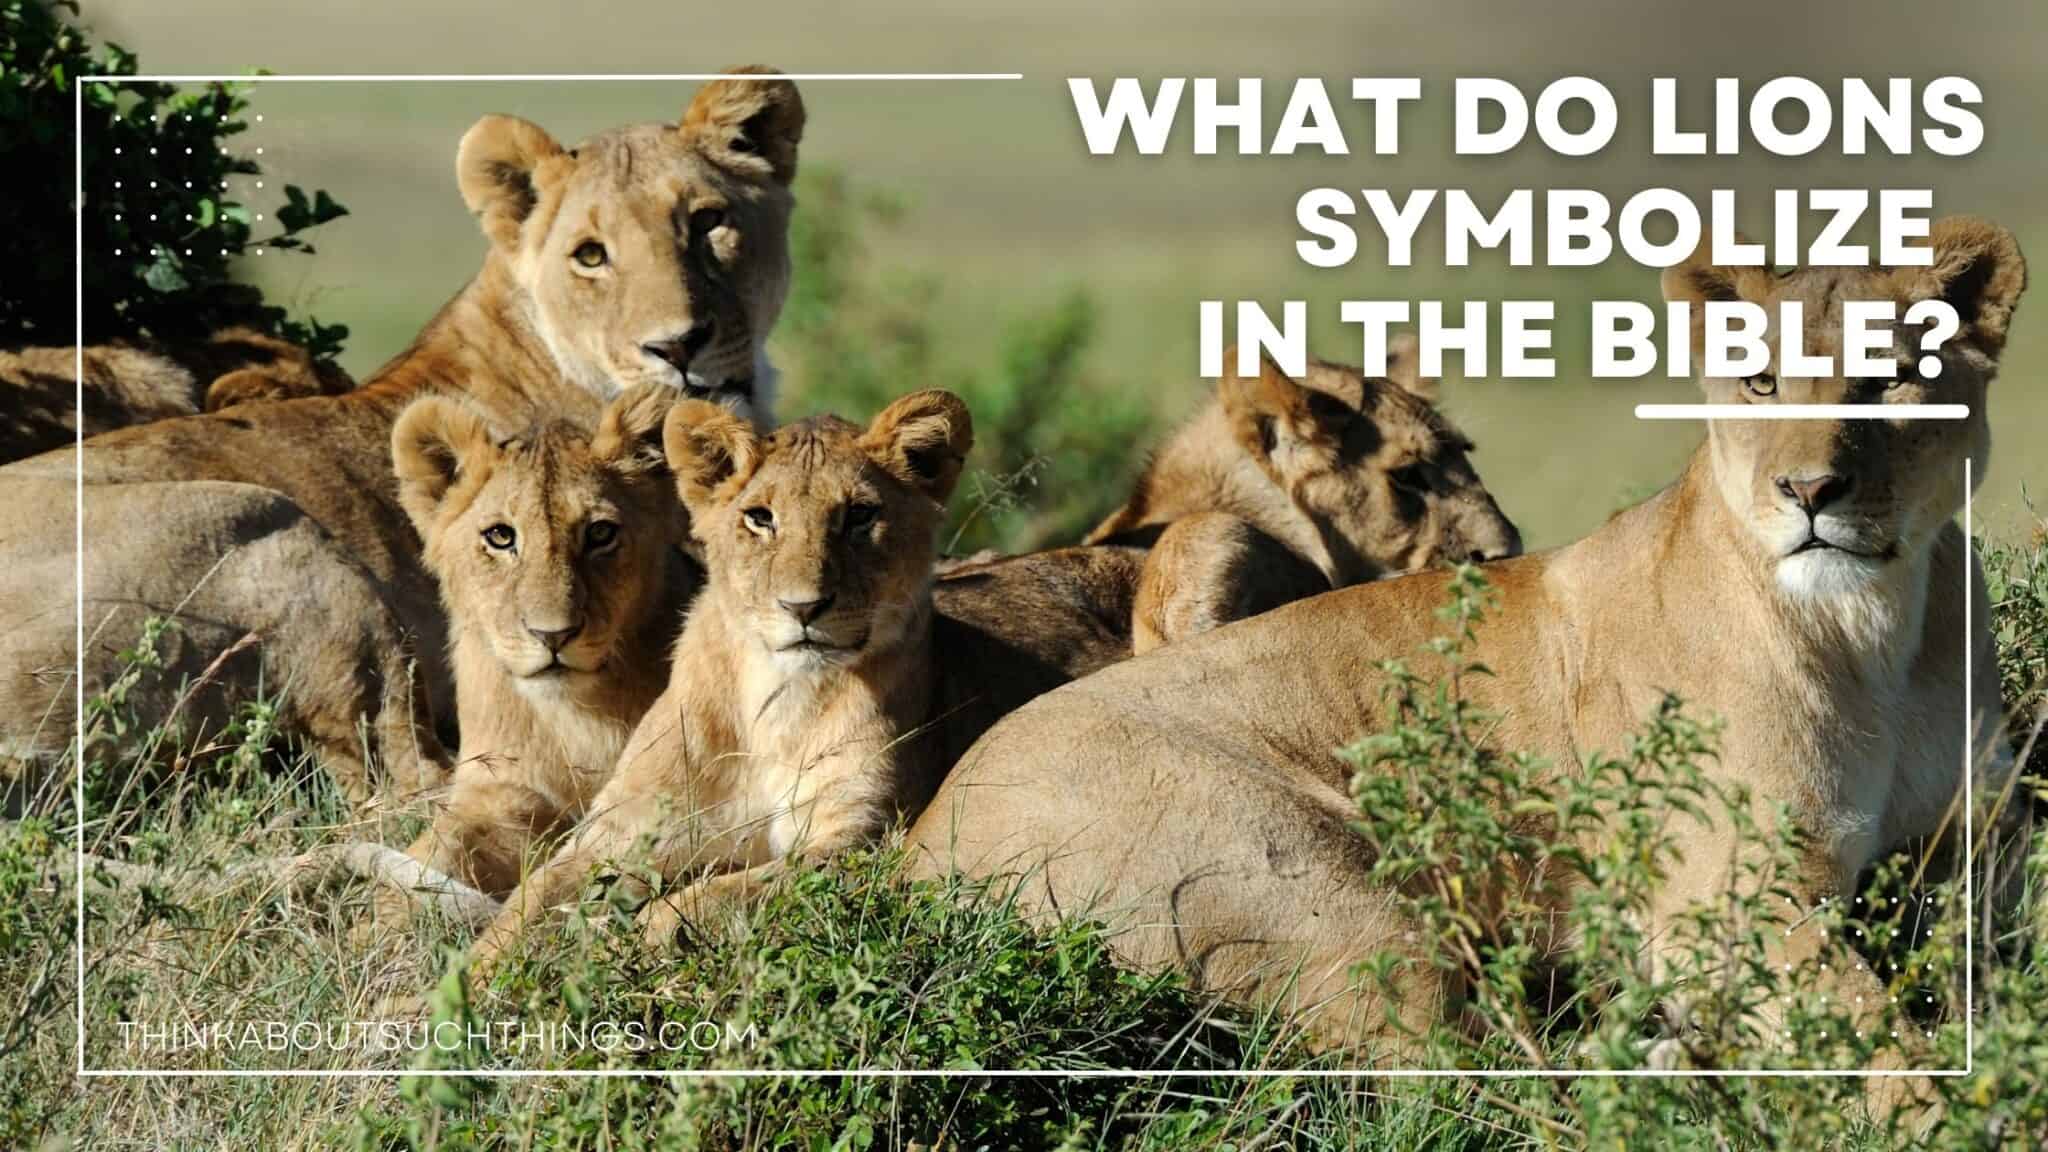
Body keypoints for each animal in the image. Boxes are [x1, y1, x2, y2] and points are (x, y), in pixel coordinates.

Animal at [379, 384, 692, 914]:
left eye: (600, 533)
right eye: (501, 536)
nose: (553, 636)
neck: (573, 718)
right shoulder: (503, 793)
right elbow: (425, 860)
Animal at [464, 389, 973, 976]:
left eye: (861, 516)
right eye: (760, 518)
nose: (803, 607)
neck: (778, 700)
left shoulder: (860, 839)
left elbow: (715, 896)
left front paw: (629, 945)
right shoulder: (619, 830)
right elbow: (529, 903)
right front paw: (464, 983)